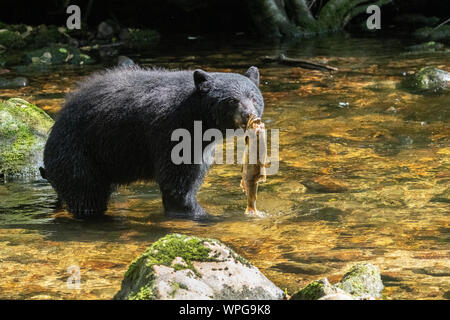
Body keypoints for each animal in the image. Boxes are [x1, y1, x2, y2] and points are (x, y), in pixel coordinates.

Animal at [42, 65, 264, 220]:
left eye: (253, 97)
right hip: (78, 153)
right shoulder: (172, 131)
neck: (196, 116)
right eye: (232, 100)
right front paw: (200, 214)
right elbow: (177, 181)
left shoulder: (202, 145)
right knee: (85, 191)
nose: (249, 115)